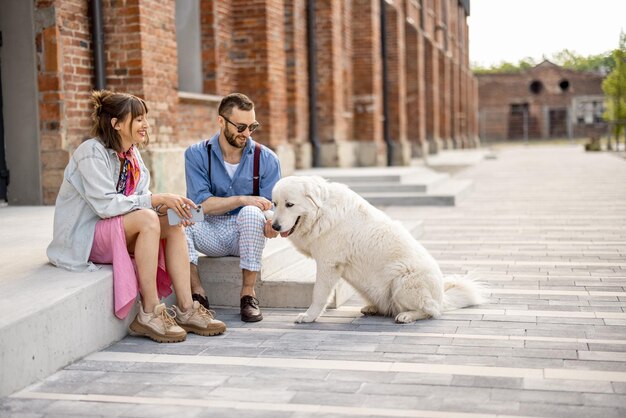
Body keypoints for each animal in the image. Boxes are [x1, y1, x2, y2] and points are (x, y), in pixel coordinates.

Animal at [270, 176, 482, 324]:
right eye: (275, 204)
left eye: (290, 204)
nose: (275, 226)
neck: (322, 212)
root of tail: (442, 298)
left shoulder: (328, 265)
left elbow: (319, 295)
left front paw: (309, 316)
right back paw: (374, 308)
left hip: (401, 281)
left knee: (431, 311)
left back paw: (407, 316)